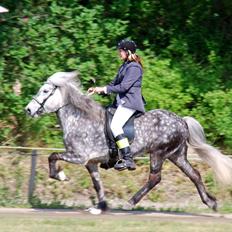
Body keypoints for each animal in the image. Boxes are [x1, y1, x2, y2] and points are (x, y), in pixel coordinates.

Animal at [24, 71, 232, 214]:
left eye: (45, 91)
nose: (28, 110)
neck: (79, 119)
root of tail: (182, 120)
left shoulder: (79, 156)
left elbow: (52, 156)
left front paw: (60, 176)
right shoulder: (91, 162)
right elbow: (97, 184)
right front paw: (100, 206)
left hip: (158, 153)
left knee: (155, 178)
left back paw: (130, 203)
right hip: (176, 155)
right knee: (194, 175)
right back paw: (211, 203)